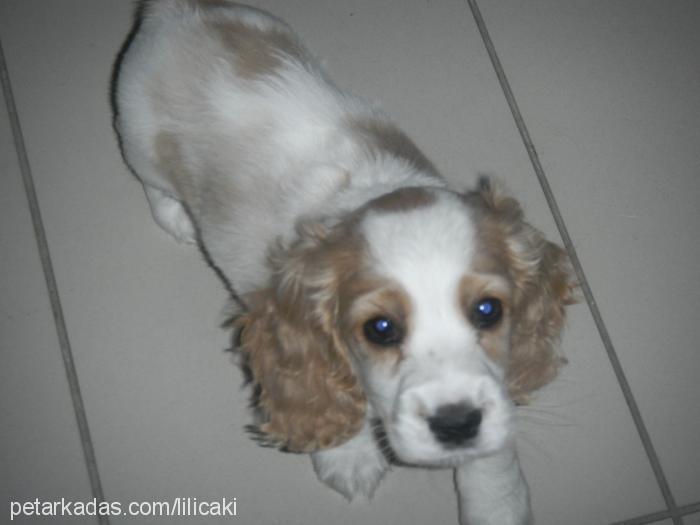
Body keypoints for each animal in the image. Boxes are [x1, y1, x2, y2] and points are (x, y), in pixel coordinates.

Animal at [113, 2, 576, 520]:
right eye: (381, 329)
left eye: (488, 311)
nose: (456, 425)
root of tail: (184, 9)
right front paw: (349, 458)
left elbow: (491, 453)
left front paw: (498, 506)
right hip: (139, 135)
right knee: (153, 183)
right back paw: (177, 217)